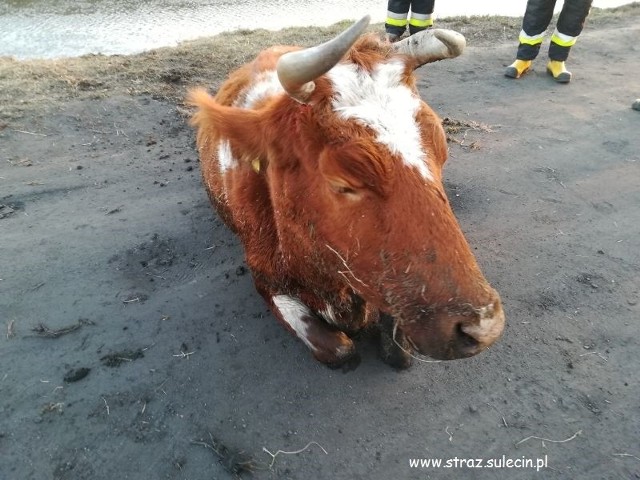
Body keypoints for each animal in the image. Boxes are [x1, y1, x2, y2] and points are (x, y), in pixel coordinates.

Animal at [188, 14, 508, 368]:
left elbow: (399, 351)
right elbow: (340, 350)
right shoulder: (264, 279)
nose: (482, 326)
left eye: (443, 155)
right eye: (344, 181)